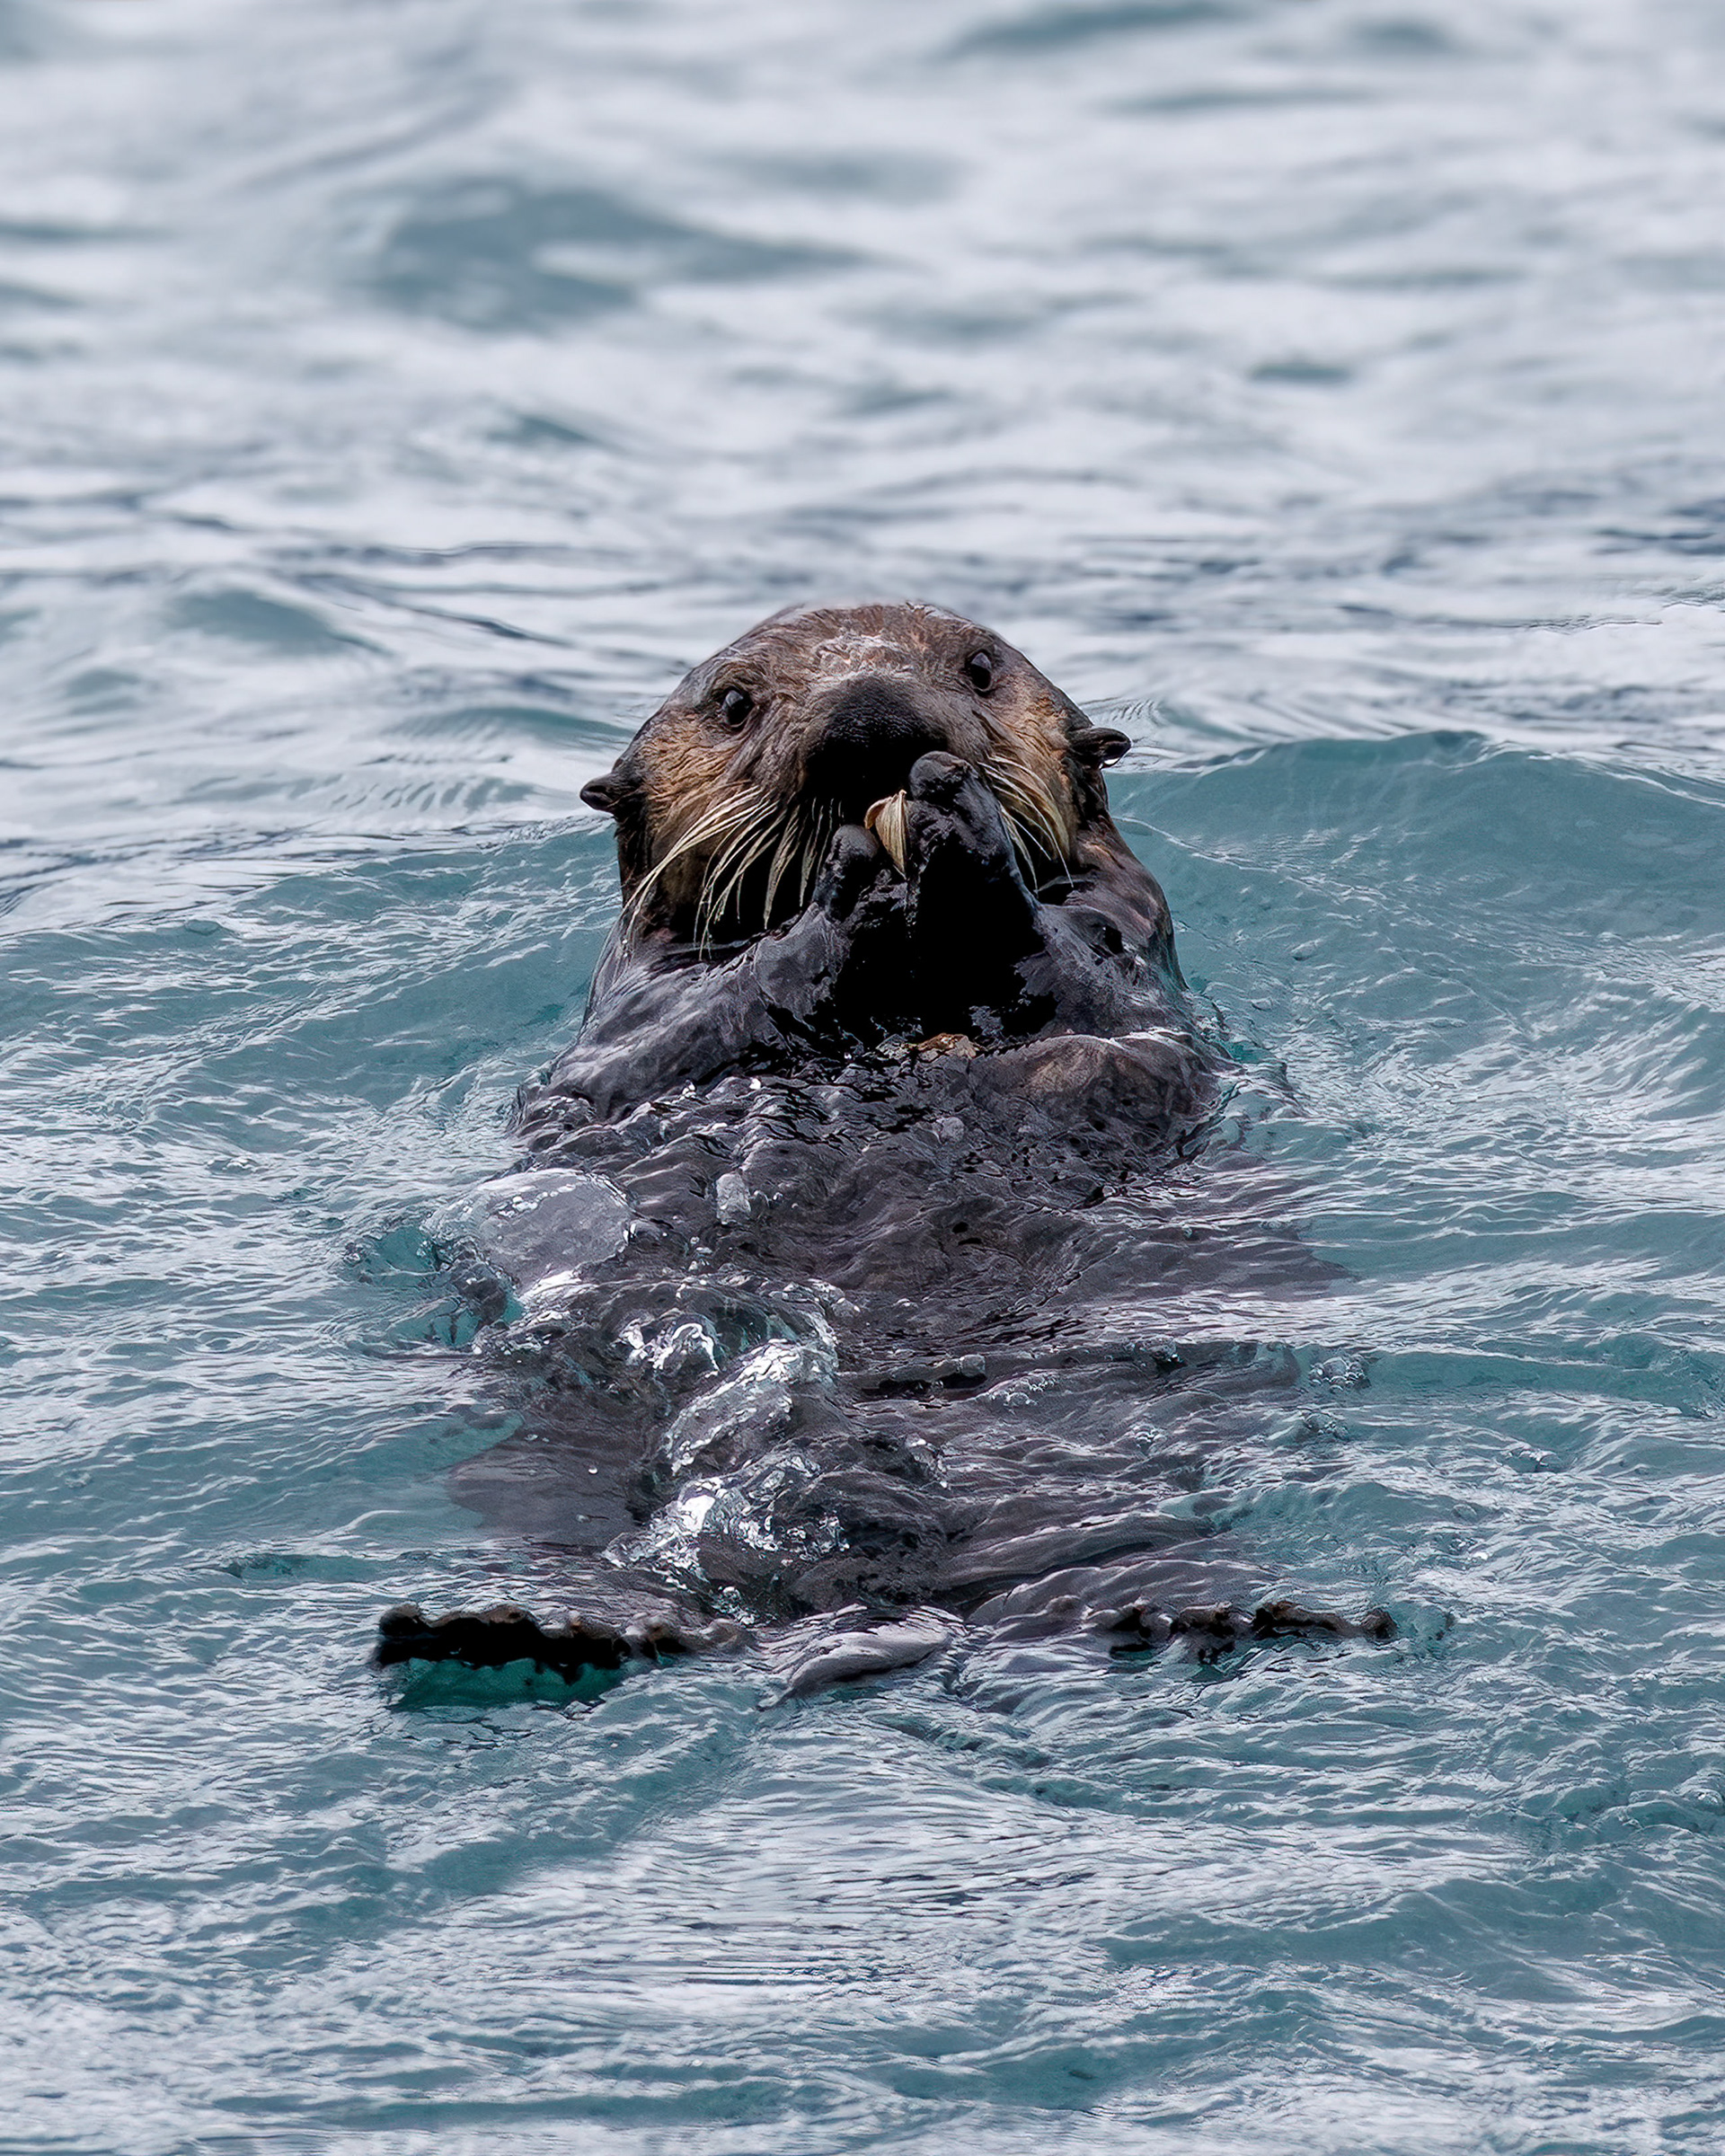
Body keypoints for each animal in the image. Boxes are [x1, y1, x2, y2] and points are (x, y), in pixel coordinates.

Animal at [376, 602, 1390, 1697]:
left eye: (981, 668)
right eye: (733, 704)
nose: (874, 721)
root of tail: (886, 1604)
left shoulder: (1131, 936)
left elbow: (1089, 990)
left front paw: (957, 828)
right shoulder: (635, 1002)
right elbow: (659, 1045)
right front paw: (858, 872)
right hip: (550, 1461)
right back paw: (522, 1628)